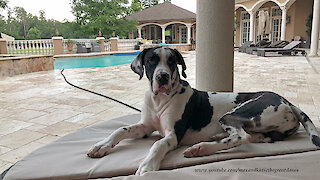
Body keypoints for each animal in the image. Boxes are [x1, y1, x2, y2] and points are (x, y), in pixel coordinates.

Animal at [87, 46, 320, 174]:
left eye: (171, 62)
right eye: (152, 61)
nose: (162, 77)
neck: (160, 99)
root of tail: (287, 100)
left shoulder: (173, 136)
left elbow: (157, 145)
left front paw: (148, 165)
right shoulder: (144, 126)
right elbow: (121, 130)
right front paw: (101, 145)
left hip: (232, 115)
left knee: (241, 136)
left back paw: (201, 148)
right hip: (261, 129)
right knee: (255, 137)